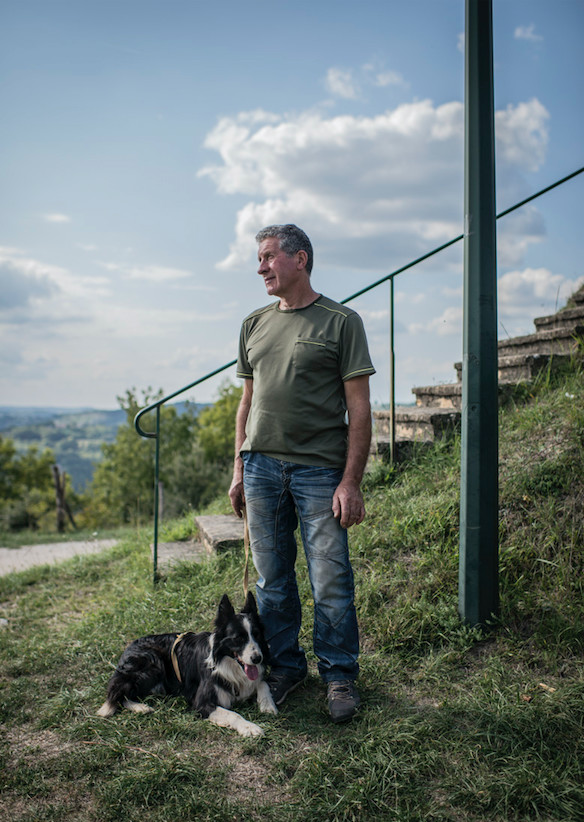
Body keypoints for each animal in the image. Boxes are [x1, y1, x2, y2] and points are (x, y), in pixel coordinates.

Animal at [97, 596, 278, 736]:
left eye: (256, 635)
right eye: (238, 638)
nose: (257, 658)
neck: (227, 663)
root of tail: (128, 648)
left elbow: (262, 683)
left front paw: (267, 705)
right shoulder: (202, 703)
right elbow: (234, 715)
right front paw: (250, 727)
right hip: (152, 665)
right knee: (117, 694)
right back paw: (140, 707)